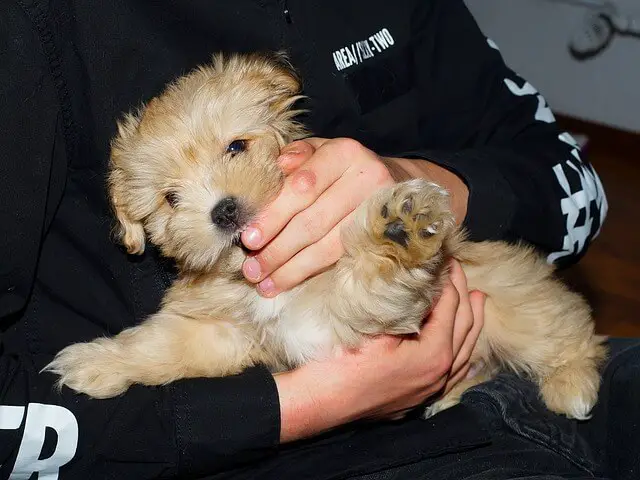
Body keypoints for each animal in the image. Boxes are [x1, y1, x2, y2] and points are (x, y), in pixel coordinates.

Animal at [43, 53, 604, 420]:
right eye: (170, 199)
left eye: (236, 147)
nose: (223, 211)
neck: (253, 278)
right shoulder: (219, 332)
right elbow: (158, 345)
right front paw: (98, 362)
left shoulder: (343, 313)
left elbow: (369, 281)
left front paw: (398, 233)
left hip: (521, 312)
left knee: (570, 333)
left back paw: (572, 385)